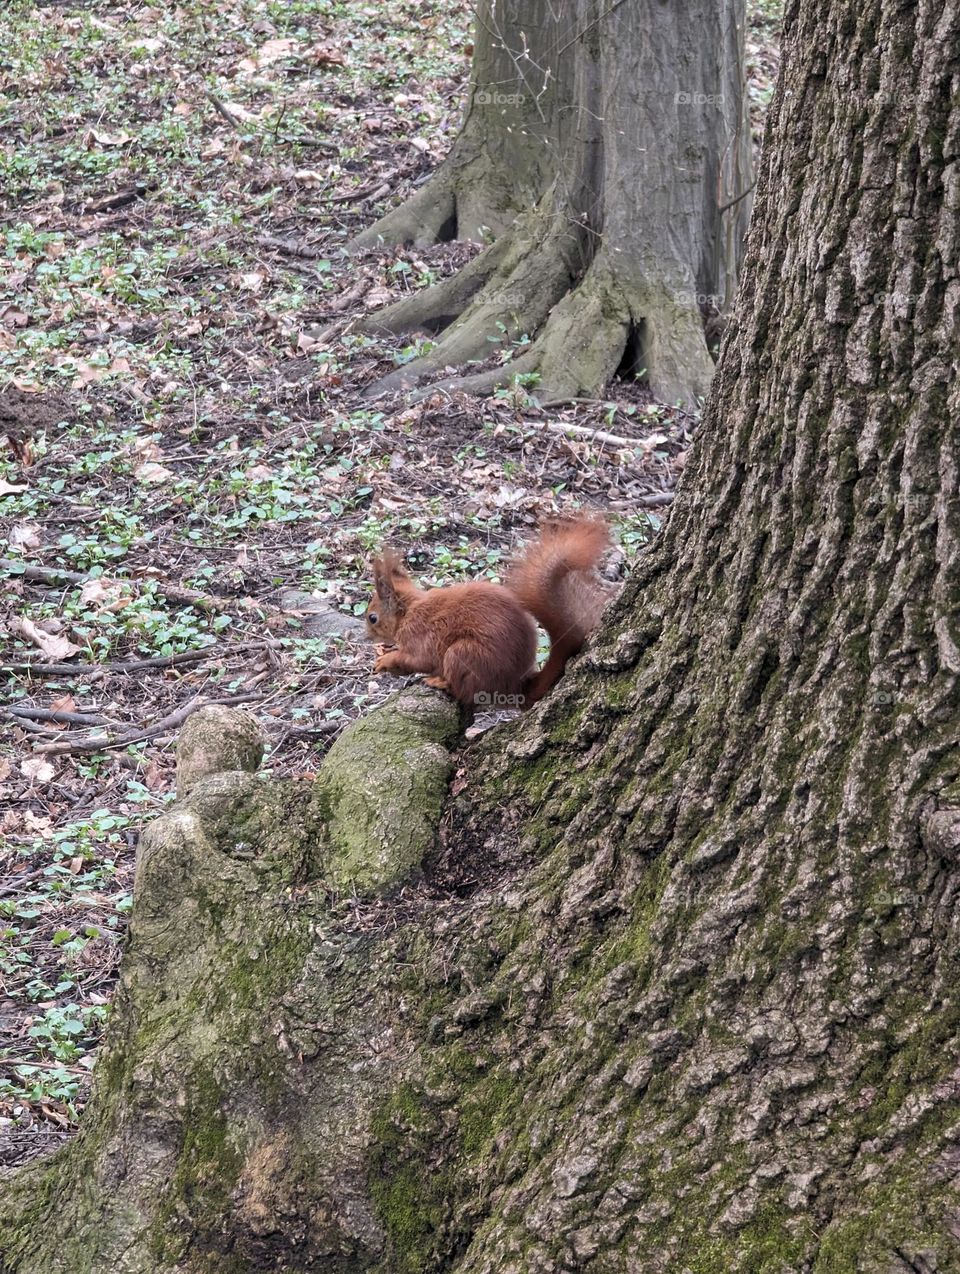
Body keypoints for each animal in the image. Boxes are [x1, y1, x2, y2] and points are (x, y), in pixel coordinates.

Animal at [366, 514, 612, 709]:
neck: (408, 611)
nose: (367, 636)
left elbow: (415, 660)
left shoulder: (418, 636)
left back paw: (441, 682)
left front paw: (386, 660)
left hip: (463, 654)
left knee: (464, 692)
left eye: (372, 617)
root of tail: (514, 686)